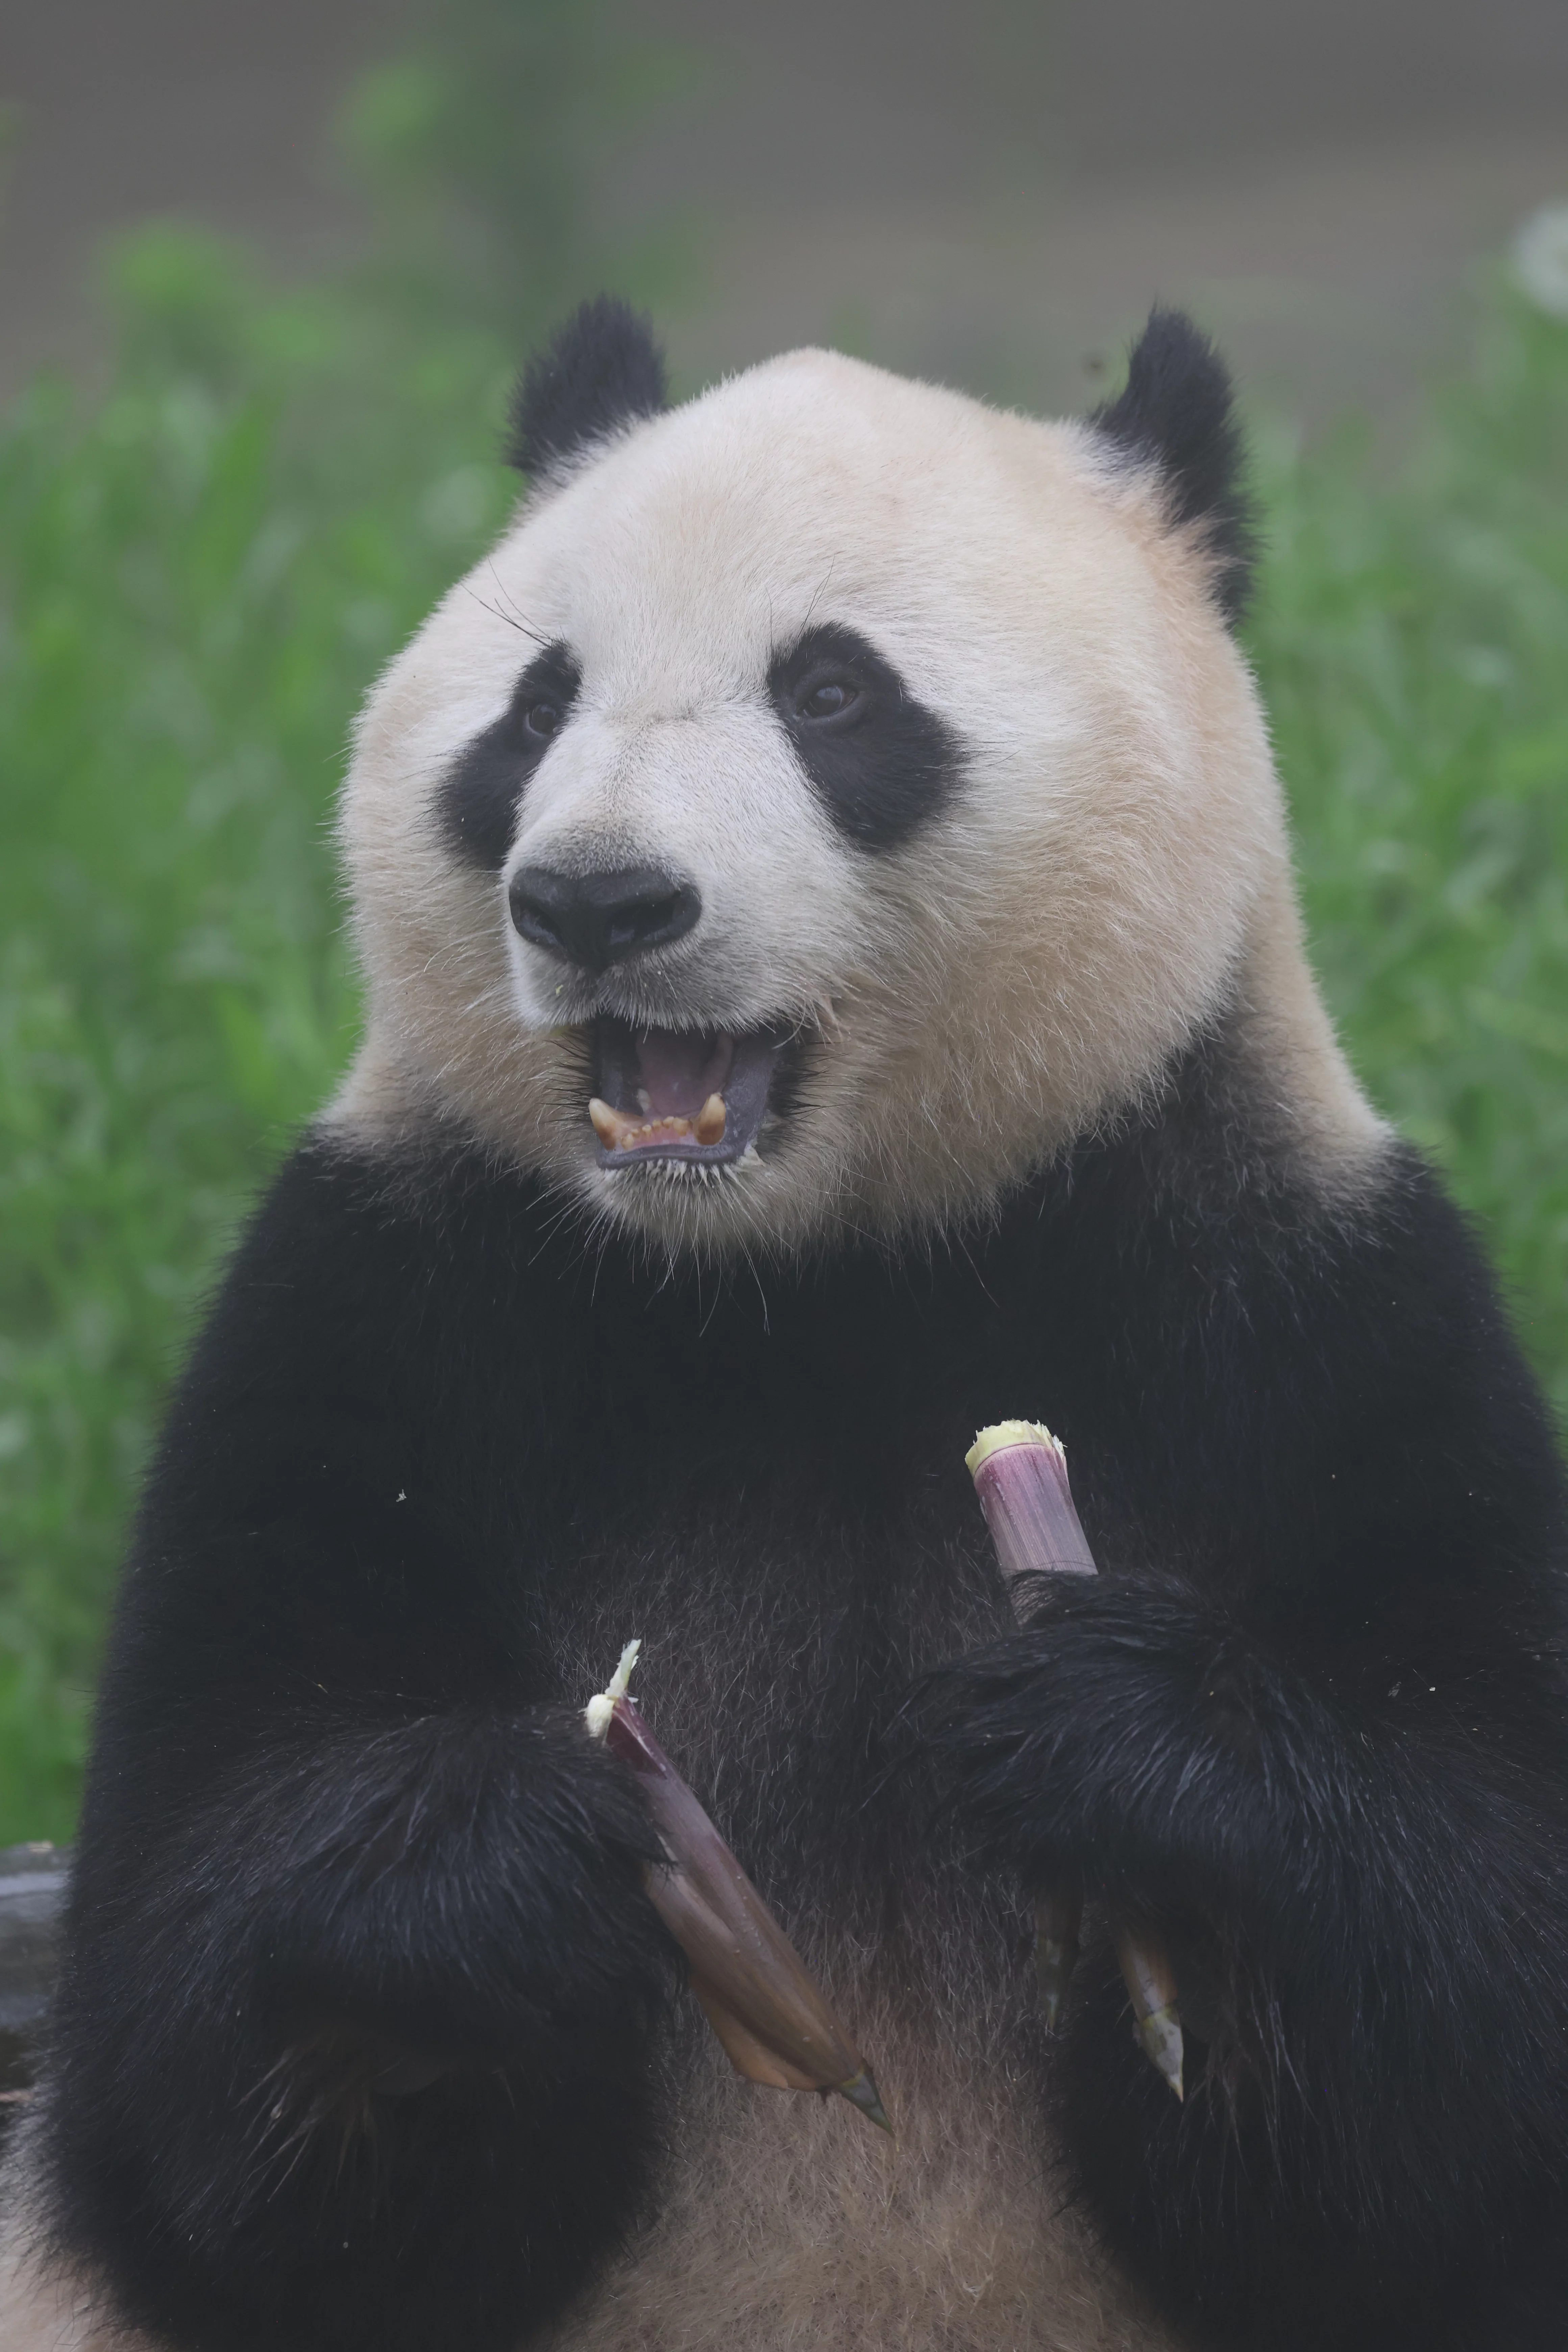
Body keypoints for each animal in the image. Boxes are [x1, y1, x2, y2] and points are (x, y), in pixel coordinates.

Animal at [5, 294, 1568, 2352]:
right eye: (535, 708)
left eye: (832, 695)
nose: (597, 898)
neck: (810, 1279)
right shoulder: (377, 1311)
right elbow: (186, 2094)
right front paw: (524, 1855)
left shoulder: (1315, 1317)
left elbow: (1459, 2046)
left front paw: (1119, 1742)